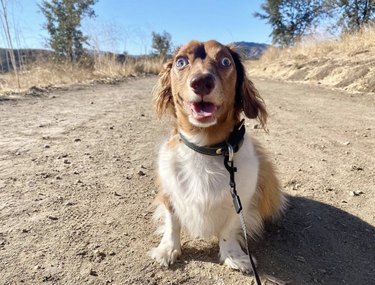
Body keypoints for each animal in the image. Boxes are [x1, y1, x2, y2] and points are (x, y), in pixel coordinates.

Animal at [149, 38, 284, 272]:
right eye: (181, 62)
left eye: (225, 61)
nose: (201, 82)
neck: (205, 148)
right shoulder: (169, 192)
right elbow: (172, 222)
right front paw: (167, 249)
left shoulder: (240, 198)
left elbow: (228, 230)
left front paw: (233, 256)